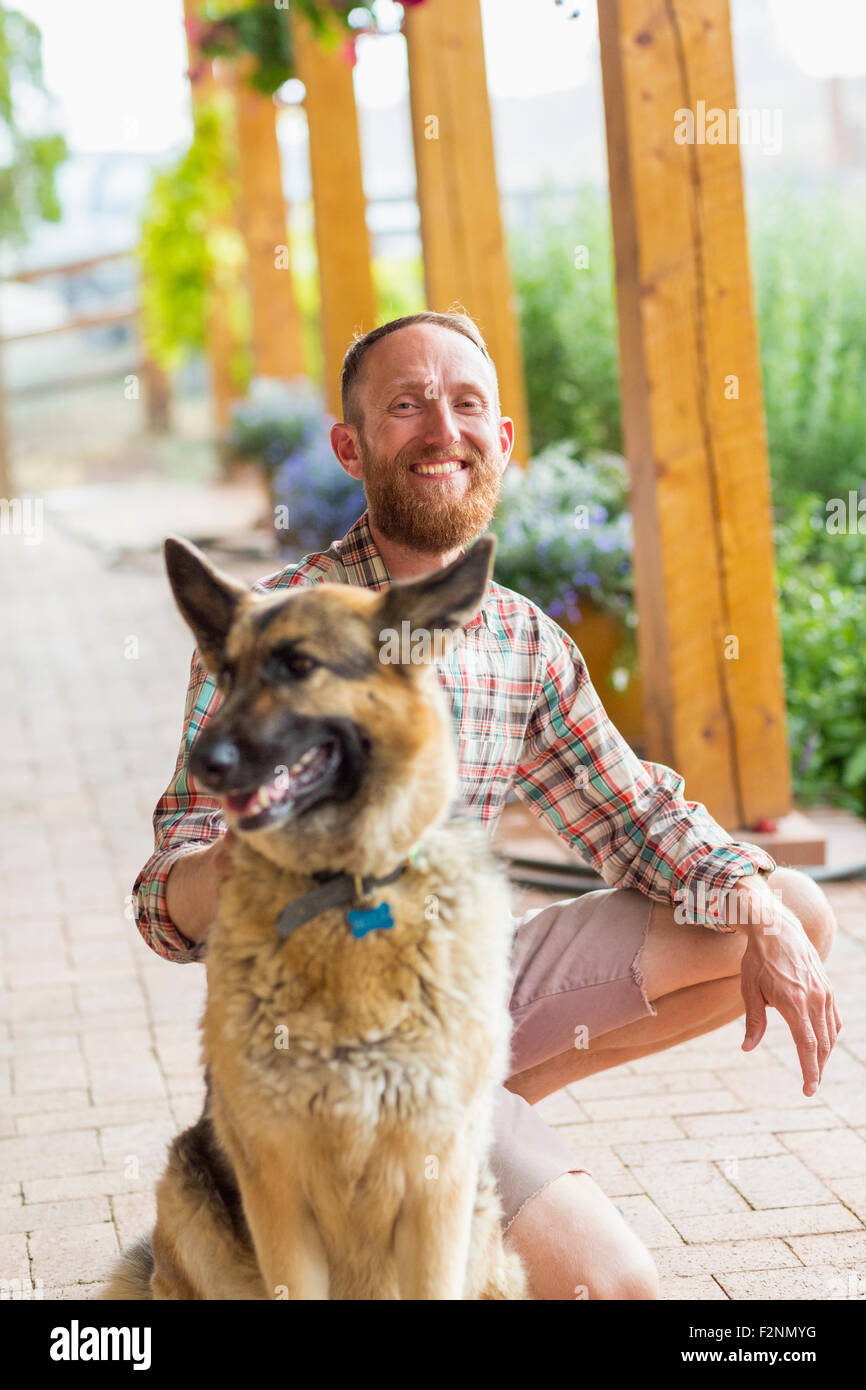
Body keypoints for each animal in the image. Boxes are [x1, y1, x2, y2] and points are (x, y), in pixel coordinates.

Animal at [100, 533, 528, 1301]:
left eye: (299, 666)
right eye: (227, 673)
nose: (202, 764)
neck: (344, 891)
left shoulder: (437, 1191)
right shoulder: (280, 1200)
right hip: (189, 1202)